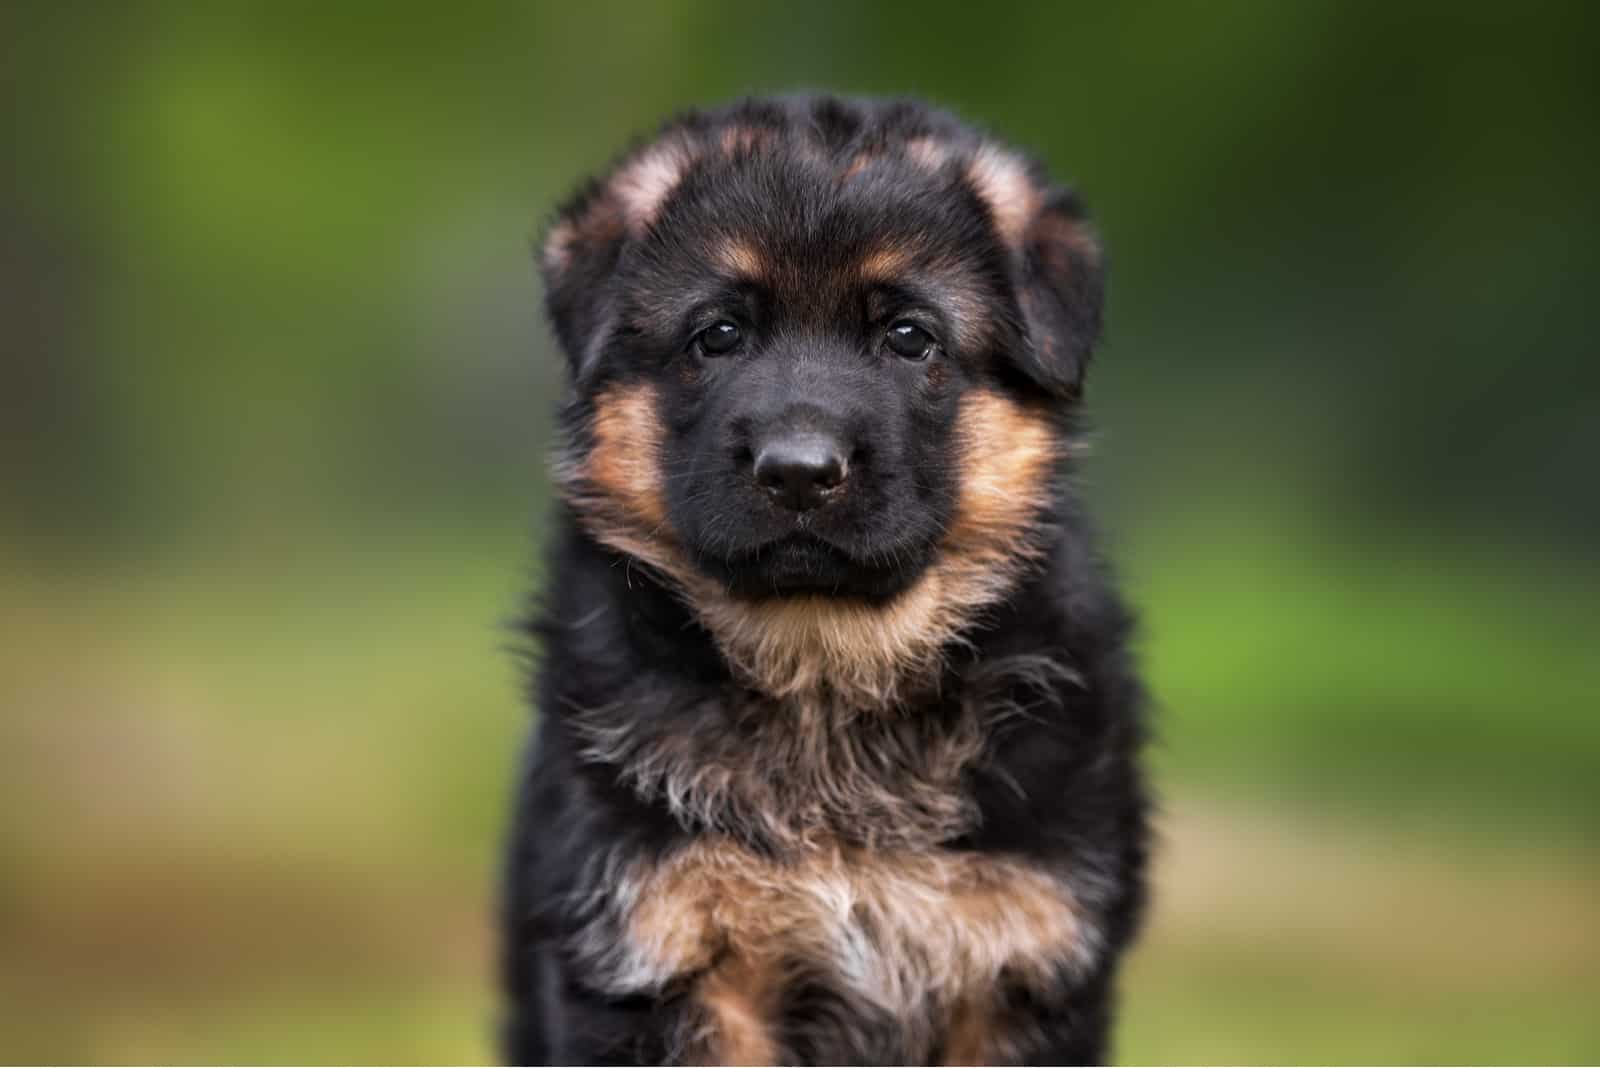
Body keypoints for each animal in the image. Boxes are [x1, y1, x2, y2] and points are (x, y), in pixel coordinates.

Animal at [499, 95, 1152, 1061]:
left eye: (910, 337)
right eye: (719, 334)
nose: (799, 471)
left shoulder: (1020, 959)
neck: (826, 675)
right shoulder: (659, 950)